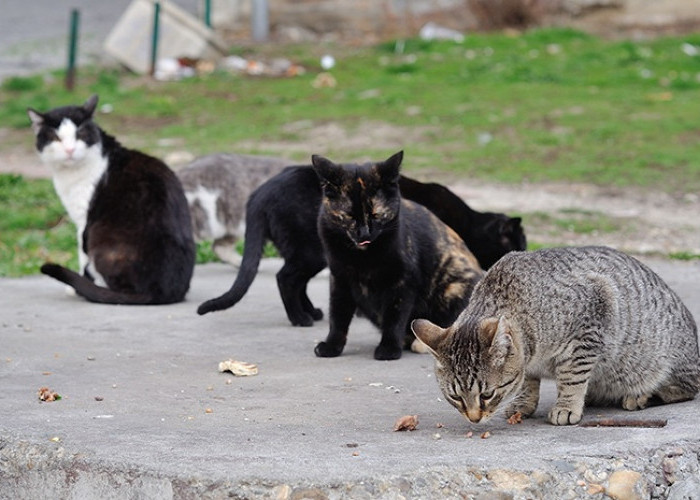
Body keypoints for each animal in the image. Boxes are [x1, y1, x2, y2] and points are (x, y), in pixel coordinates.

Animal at [27, 94, 196, 304]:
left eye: (80, 134)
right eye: (56, 138)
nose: (70, 150)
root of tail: (161, 291)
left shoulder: (84, 221)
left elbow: (82, 255)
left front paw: (77, 288)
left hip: (100, 238)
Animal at [410, 246, 700, 426]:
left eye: (487, 395)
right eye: (456, 397)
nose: (474, 418)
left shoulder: (591, 319)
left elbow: (573, 376)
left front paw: (567, 405)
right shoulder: (528, 362)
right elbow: (527, 382)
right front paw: (523, 403)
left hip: (666, 363)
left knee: (683, 389)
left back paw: (639, 396)